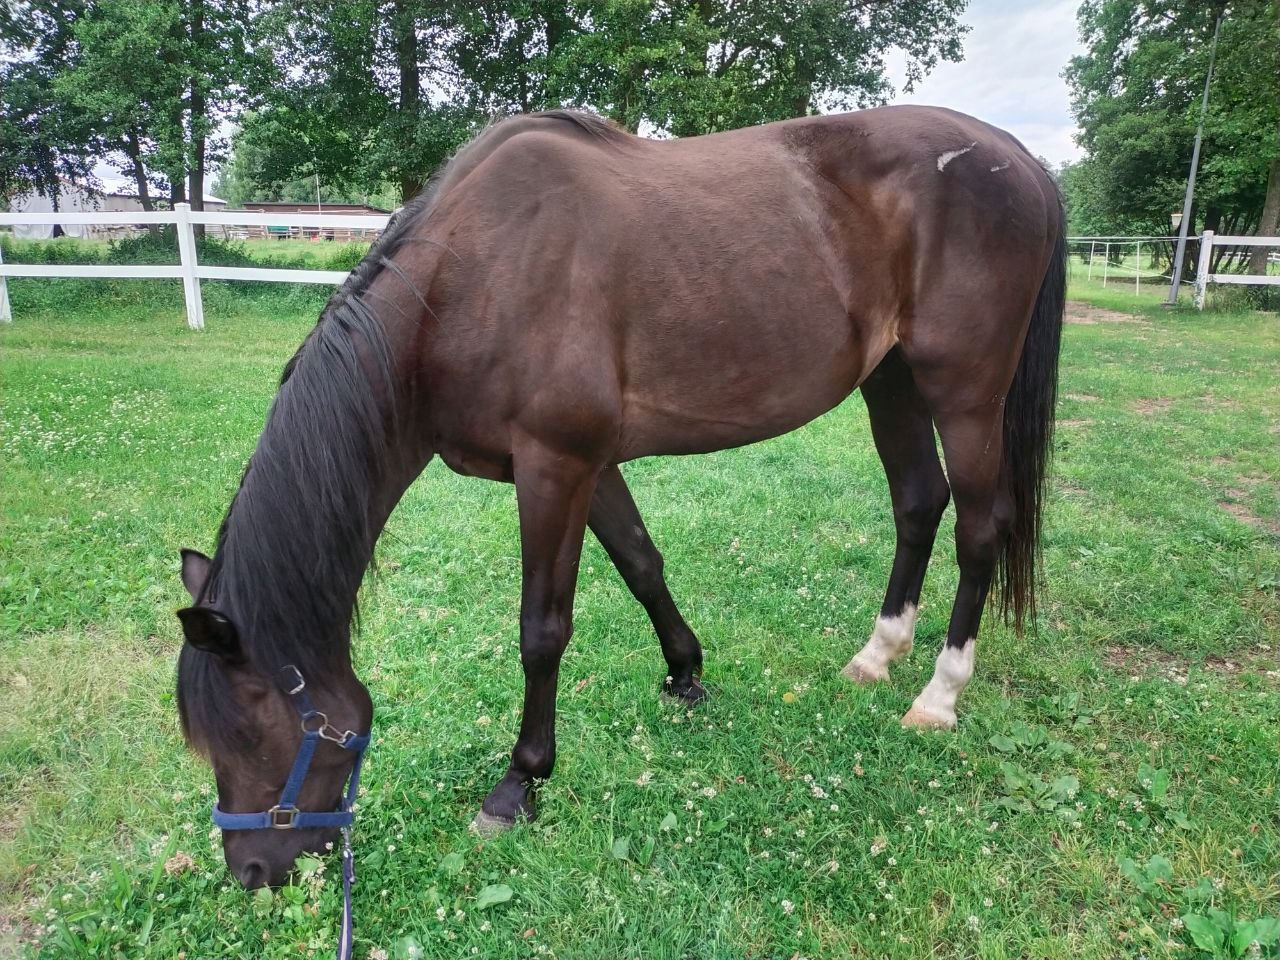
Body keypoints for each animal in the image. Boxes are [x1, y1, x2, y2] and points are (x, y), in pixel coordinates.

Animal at [175, 101, 1064, 890]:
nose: (251, 873)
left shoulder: (553, 467)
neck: (470, 277)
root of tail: (1020, 159)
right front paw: (686, 675)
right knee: (918, 503)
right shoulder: (588, 467)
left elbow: (542, 631)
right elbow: (642, 563)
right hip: (894, 379)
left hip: (965, 390)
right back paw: (878, 655)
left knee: (980, 529)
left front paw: (519, 783)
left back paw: (939, 694)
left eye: (251, 733)